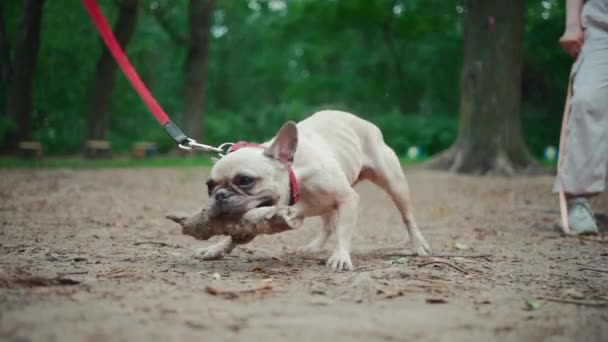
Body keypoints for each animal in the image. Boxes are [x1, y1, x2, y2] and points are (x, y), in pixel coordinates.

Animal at [198, 109, 428, 270]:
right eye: (209, 186)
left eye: (245, 180)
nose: (220, 196)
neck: (296, 172)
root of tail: (365, 122)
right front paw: (216, 248)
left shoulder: (347, 198)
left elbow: (343, 231)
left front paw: (340, 256)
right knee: (328, 225)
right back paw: (313, 247)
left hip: (394, 183)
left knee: (407, 216)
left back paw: (418, 245)